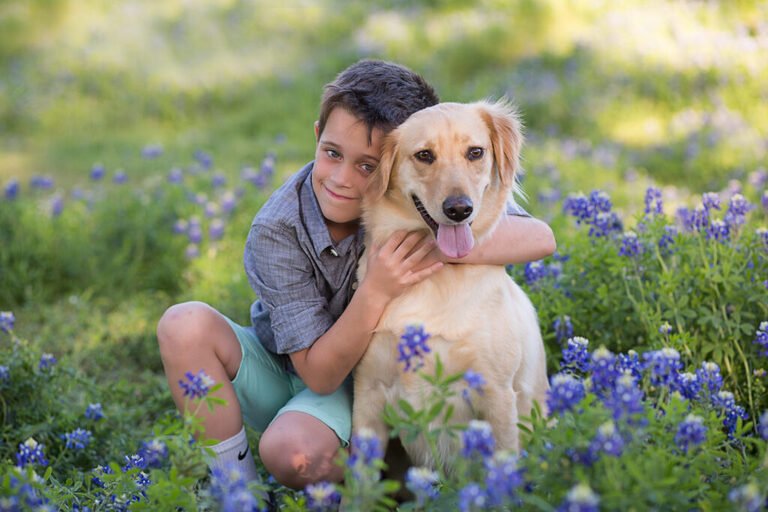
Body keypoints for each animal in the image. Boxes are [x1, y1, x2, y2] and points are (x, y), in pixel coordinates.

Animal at [352, 98, 548, 470]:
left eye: (475, 152)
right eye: (424, 155)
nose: (459, 209)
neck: (437, 276)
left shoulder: (497, 394)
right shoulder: (368, 393)